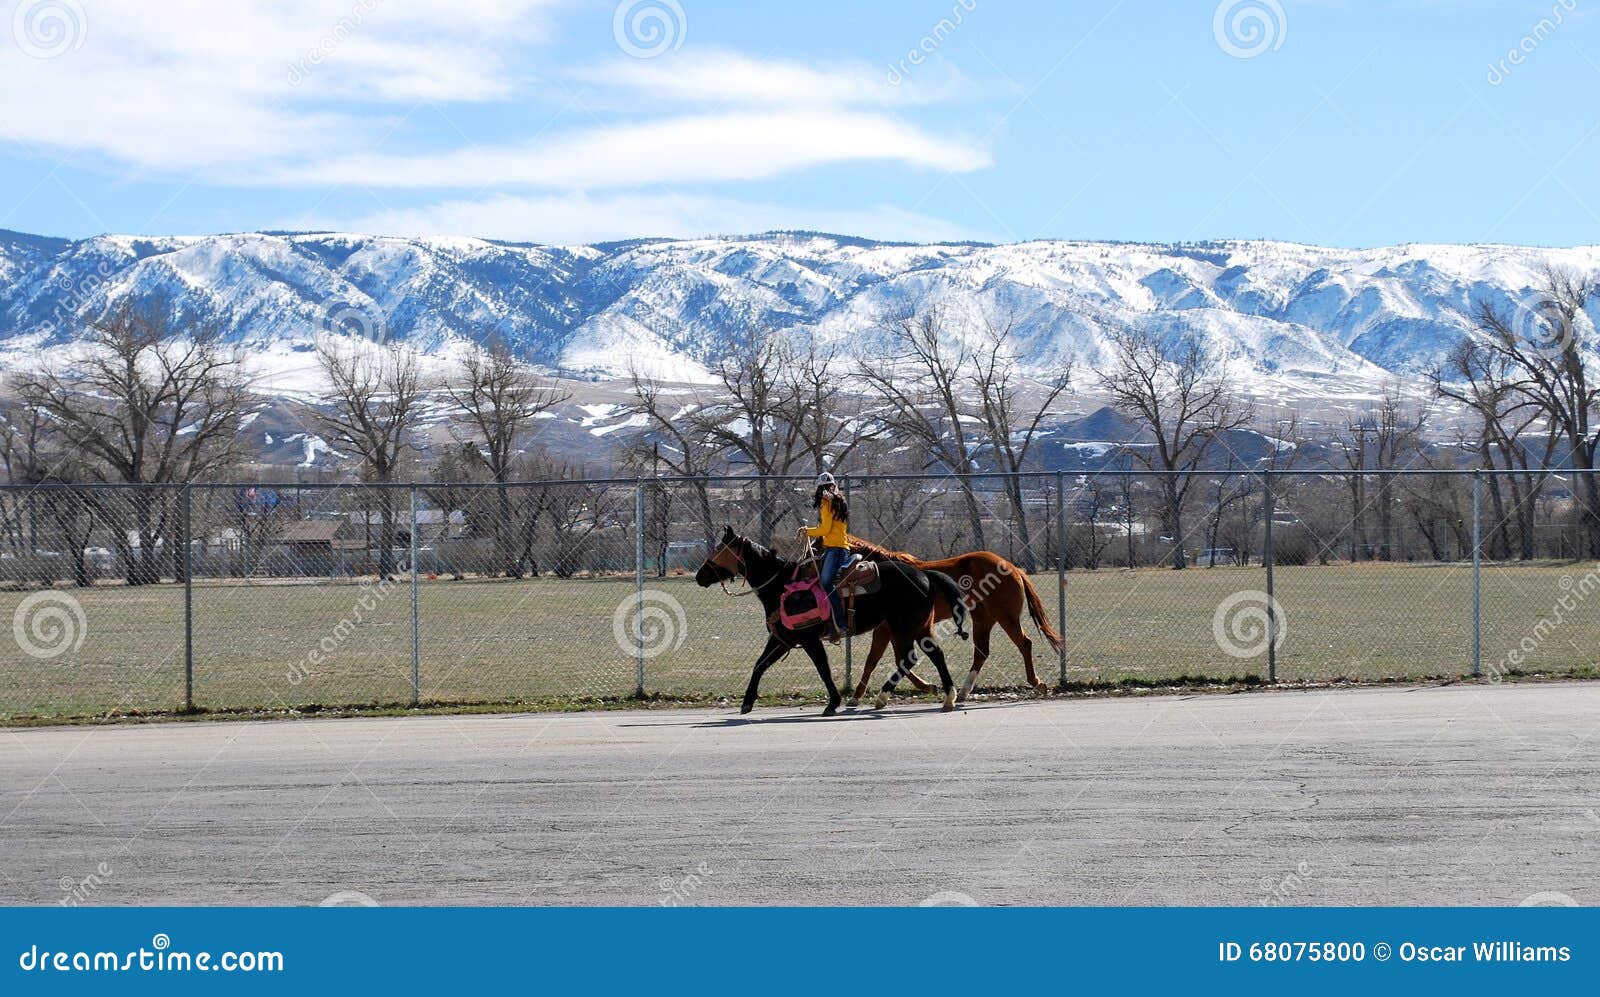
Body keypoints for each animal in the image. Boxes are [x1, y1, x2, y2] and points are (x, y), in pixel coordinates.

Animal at [844, 537, 1068, 700]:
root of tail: (1013, 568)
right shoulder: (890, 629)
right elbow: (882, 660)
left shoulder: (886, 629)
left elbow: (879, 659)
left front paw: (858, 696)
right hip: (983, 619)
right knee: (982, 652)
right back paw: (963, 691)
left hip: (1006, 617)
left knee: (1024, 643)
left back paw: (1036, 682)